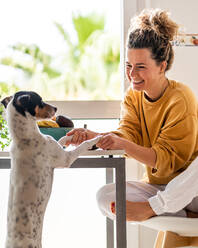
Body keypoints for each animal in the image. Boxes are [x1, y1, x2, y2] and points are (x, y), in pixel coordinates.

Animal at [1, 91, 100, 248]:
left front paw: (76, 134)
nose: (56, 108)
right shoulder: (66, 159)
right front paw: (94, 139)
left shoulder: (58, 146)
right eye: (40, 101)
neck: (23, 137)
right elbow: (82, 146)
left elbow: (64, 139)